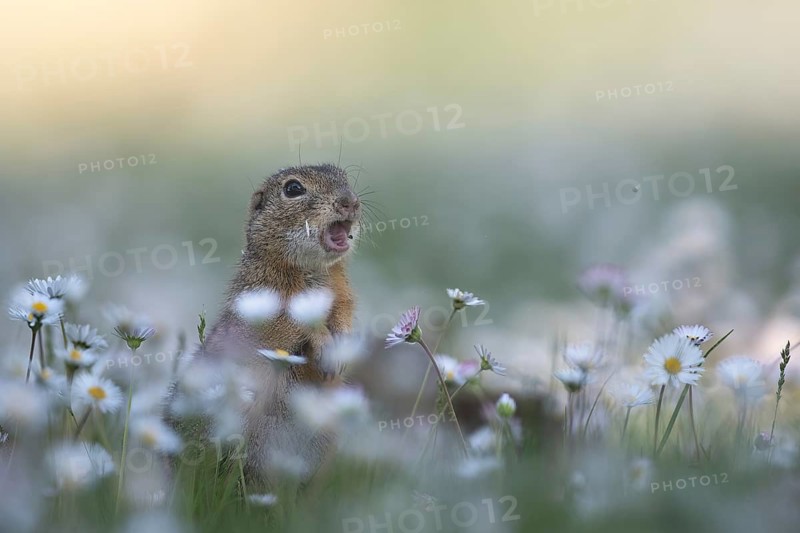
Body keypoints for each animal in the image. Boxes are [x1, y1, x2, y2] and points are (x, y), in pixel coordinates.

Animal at [169, 164, 362, 488]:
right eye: (293, 189)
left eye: (344, 177)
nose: (350, 201)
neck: (313, 268)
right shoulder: (269, 299)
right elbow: (296, 324)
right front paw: (325, 346)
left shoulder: (343, 294)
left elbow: (345, 314)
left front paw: (344, 350)